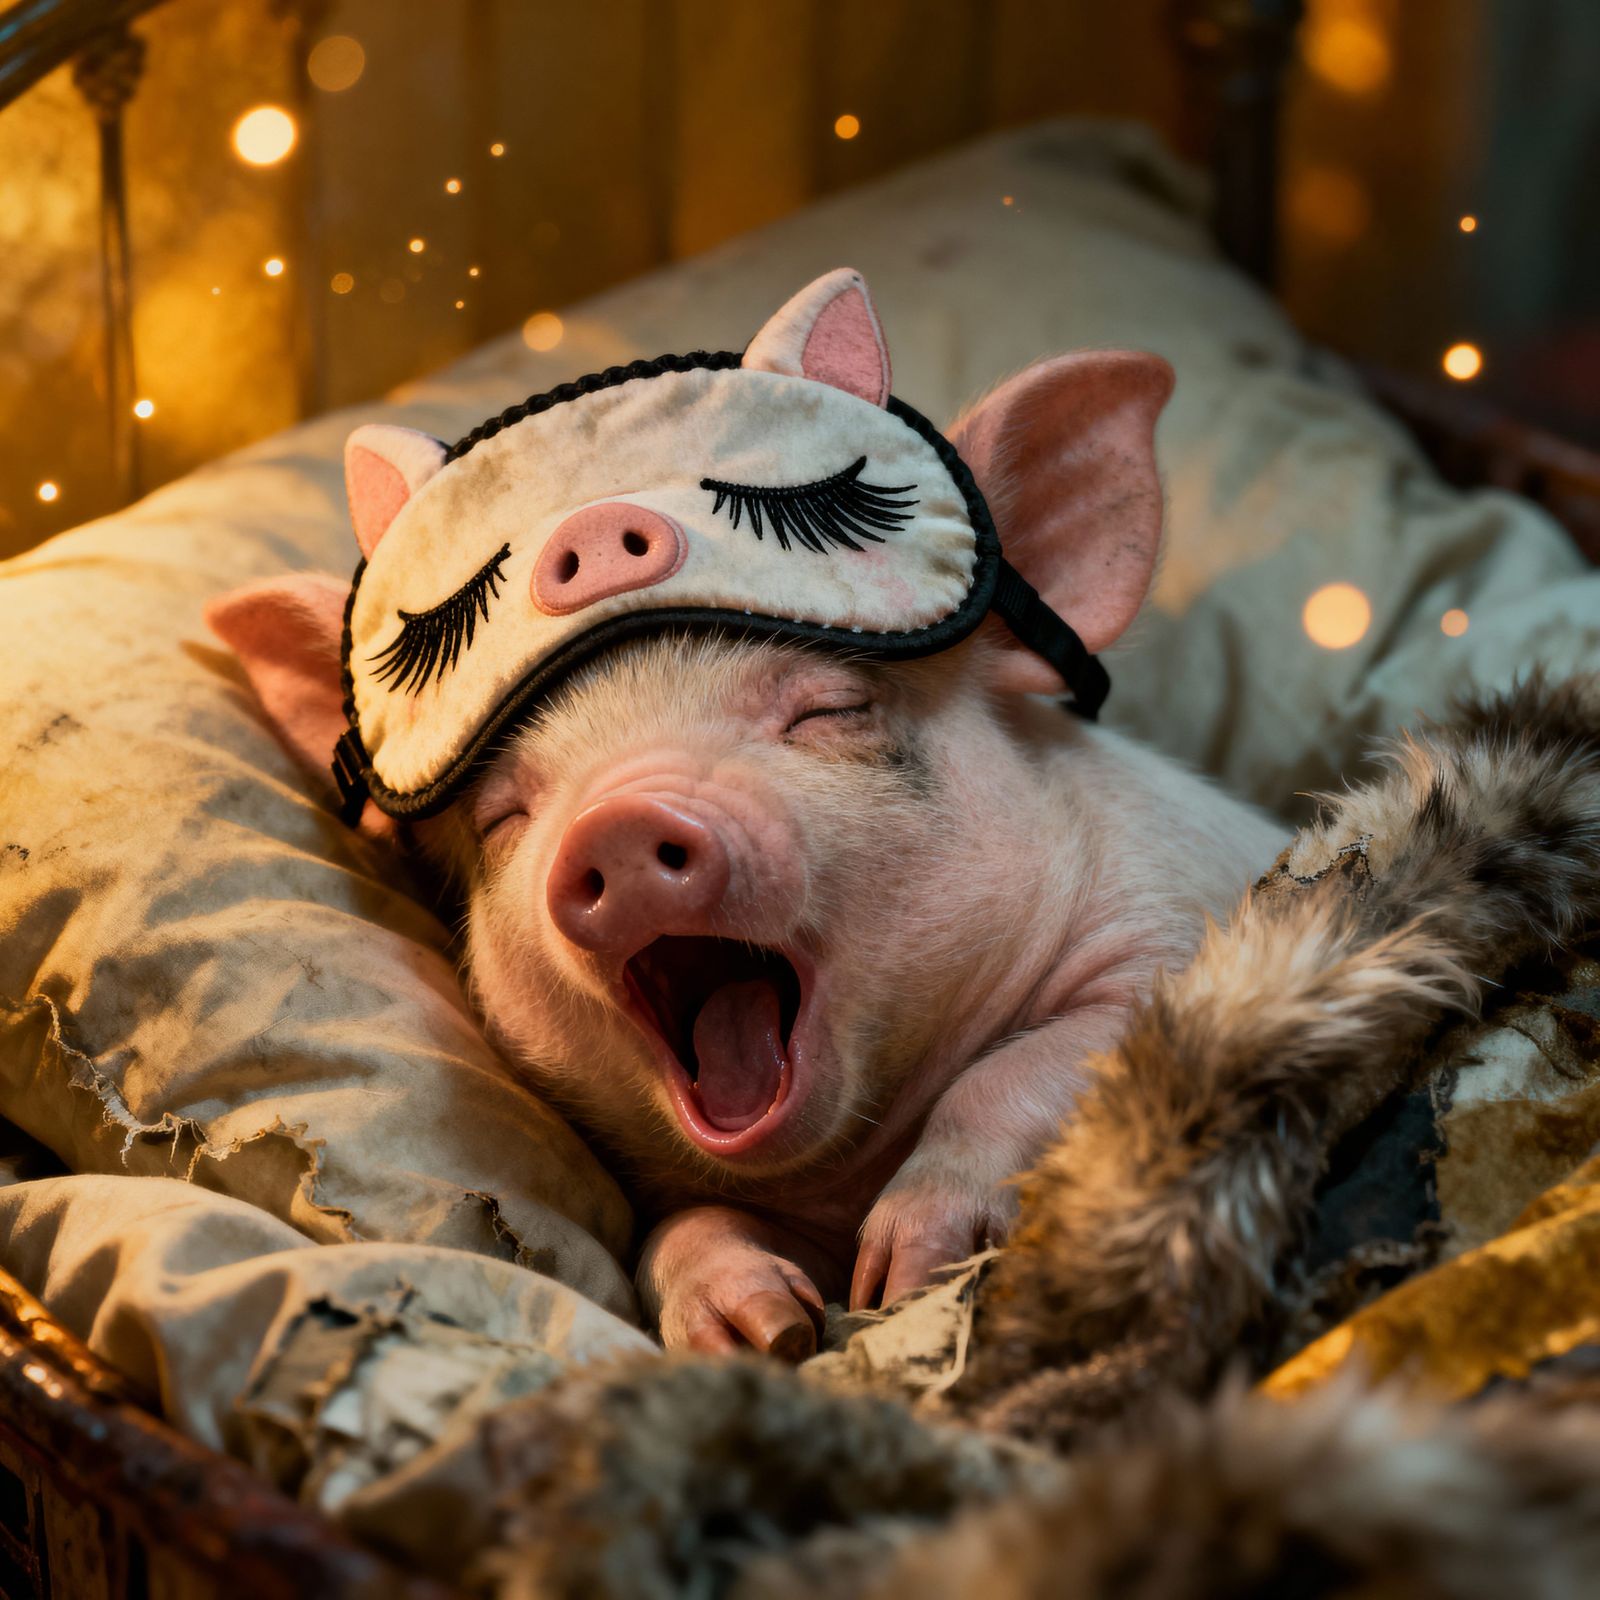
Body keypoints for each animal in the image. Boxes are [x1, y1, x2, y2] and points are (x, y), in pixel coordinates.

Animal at [208, 270, 1284, 1363]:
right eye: (506, 815)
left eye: (828, 711)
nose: (618, 823)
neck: (849, 1170)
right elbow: (683, 1227)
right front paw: (767, 1334)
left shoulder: (1171, 931)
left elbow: (1038, 1060)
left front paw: (905, 1278)